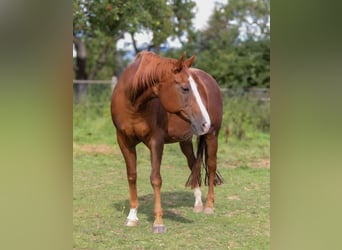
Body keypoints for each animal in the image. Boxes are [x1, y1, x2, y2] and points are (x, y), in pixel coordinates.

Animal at [111, 50, 223, 232]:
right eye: (185, 88)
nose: (205, 122)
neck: (133, 103)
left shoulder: (156, 141)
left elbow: (155, 178)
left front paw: (158, 222)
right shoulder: (124, 141)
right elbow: (132, 176)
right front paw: (132, 217)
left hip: (212, 135)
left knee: (211, 166)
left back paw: (209, 206)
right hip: (185, 140)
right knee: (194, 165)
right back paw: (198, 203)